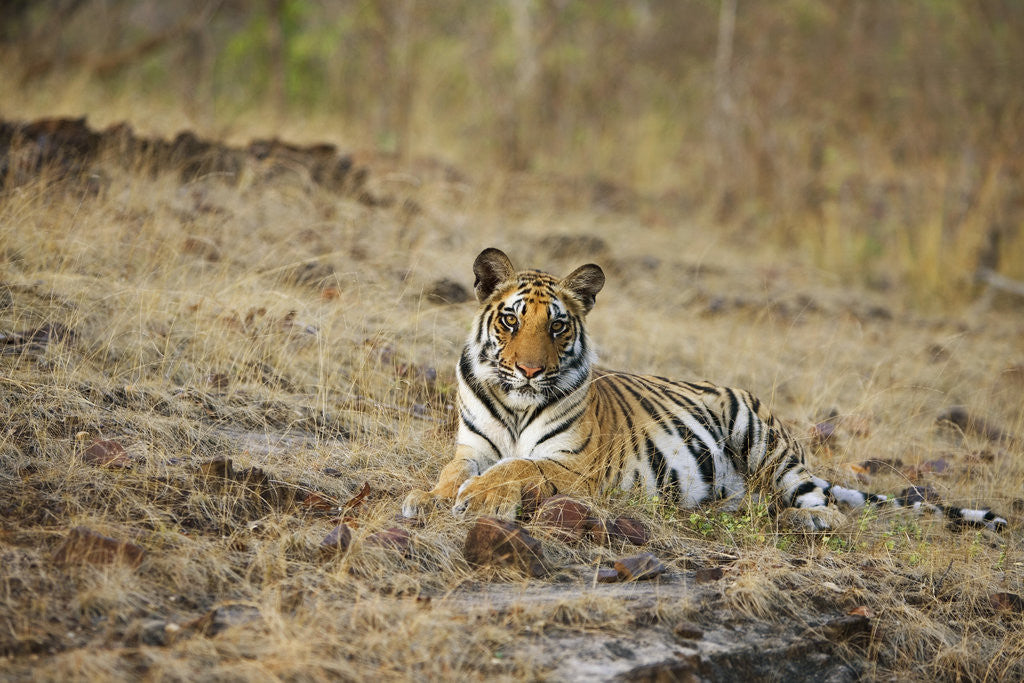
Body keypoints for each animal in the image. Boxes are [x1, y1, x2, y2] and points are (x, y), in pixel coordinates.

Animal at [401, 247, 1007, 532]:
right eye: (510, 320)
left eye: (557, 326)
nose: (528, 370)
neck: (515, 405)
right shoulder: (471, 447)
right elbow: (453, 472)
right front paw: (429, 498)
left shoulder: (576, 465)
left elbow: (521, 467)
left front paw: (481, 497)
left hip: (762, 439)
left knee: (826, 510)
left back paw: (800, 519)